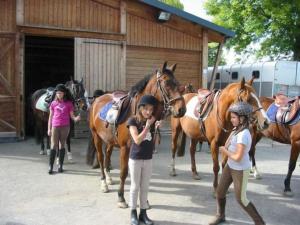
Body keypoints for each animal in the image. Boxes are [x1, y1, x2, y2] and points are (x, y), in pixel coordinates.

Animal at [89, 61, 186, 207]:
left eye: (178, 83)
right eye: (166, 83)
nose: (181, 110)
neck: (137, 113)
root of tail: (98, 99)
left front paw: (145, 200)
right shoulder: (125, 148)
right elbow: (124, 172)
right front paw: (121, 198)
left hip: (110, 140)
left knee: (108, 156)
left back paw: (109, 178)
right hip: (96, 136)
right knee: (101, 157)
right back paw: (104, 183)